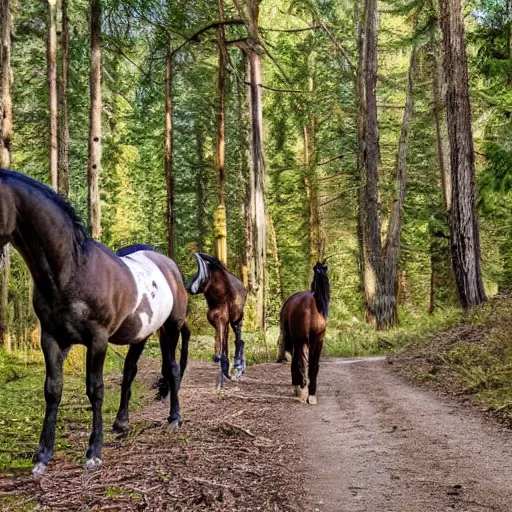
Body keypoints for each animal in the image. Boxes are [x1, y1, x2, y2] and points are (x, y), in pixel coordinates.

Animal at [0, 170, 190, 478]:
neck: (72, 271)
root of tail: (171, 267)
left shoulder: (97, 339)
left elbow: (95, 389)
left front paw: (93, 452)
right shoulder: (51, 338)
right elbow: (52, 390)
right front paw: (43, 455)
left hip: (171, 327)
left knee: (172, 368)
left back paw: (174, 418)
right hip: (141, 335)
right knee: (130, 370)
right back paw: (122, 422)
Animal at [186, 252, 246, 388]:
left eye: (202, 274)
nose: (188, 287)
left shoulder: (223, 322)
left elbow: (221, 349)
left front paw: (223, 380)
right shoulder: (219, 323)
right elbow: (220, 349)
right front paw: (224, 375)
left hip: (236, 320)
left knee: (239, 339)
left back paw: (238, 368)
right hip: (229, 323)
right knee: (231, 342)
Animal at [278, 262, 330, 406]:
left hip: (300, 341)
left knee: (298, 362)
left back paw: (300, 389)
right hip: (303, 341)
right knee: (301, 362)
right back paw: (303, 390)